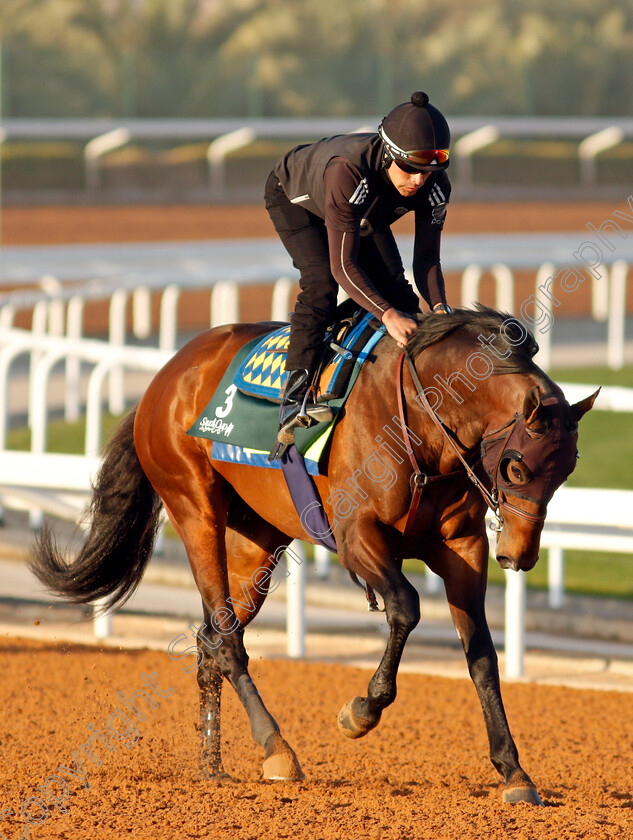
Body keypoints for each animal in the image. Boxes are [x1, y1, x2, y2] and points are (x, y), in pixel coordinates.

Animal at [29, 306, 596, 804]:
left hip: (257, 539)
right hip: (194, 507)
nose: (519, 556)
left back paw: (212, 765)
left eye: (568, 471)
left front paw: (513, 770)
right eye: (518, 467)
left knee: (211, 638)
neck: (425, 418)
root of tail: (165, 375)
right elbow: (406, 608)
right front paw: (362, 710)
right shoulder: (355, 535)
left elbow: (481, 653)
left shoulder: (464, 547)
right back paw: (276, 748)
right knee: (227, 640)